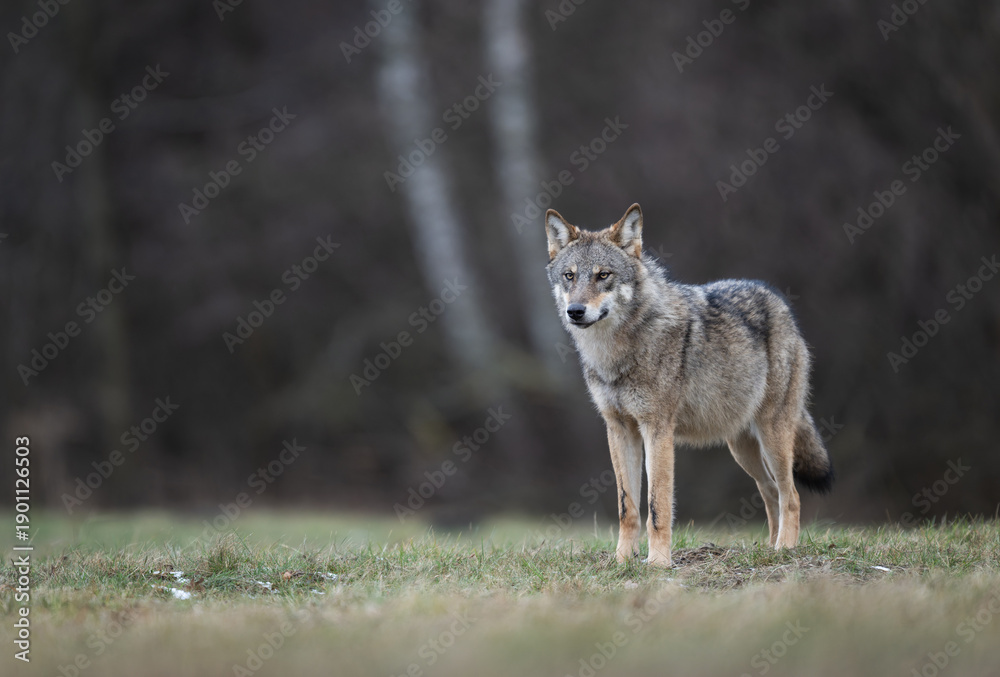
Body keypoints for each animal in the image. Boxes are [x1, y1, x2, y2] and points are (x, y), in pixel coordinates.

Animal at [544, 203, 833, 566]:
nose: (576, 311)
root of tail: (780, 303)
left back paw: (785, 550)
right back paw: (768, 550)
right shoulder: (619, 429)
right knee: (769, 492)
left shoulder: (657, 430)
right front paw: (622, 560)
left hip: (772, 436)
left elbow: (657, 506)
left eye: (603, 275)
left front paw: (657, 563)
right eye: (569, 276)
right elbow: (627, 507)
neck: (615, 353)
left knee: (790, 494)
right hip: (742, 448)